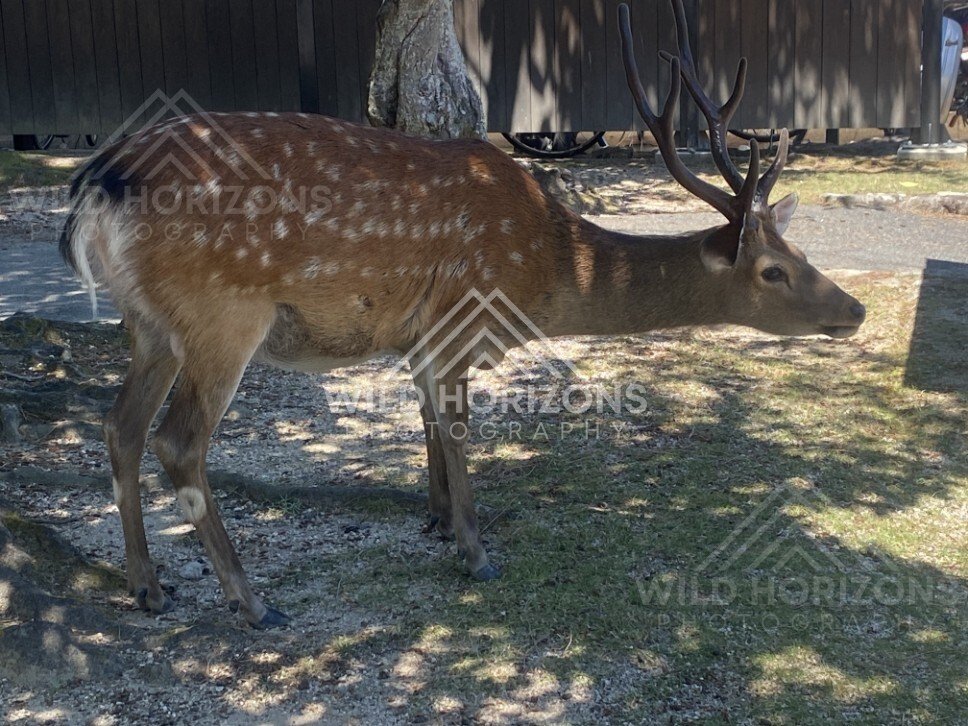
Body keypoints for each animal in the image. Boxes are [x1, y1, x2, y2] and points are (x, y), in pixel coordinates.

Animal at [59, 0, 865, 628]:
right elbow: (458, 429)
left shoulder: (420, 337)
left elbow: (428, 426)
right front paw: (477, 553)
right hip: (222, 313)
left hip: (150, 324)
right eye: (773, 271)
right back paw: (251, 601)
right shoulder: (462, 314)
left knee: (119, 425)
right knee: (177, 440)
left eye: (799, 250)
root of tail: (98, 184)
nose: (853, 311)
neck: (544, 269)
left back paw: (148, 587)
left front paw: (438, 522)